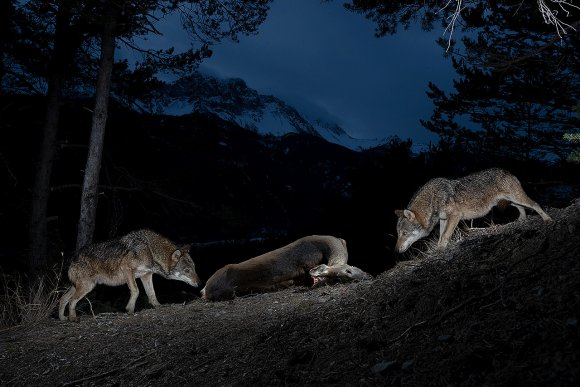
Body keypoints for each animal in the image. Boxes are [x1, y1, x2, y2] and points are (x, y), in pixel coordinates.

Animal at [58, 229, 201, 322]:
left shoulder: (146, 275)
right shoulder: (127, 270)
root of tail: (73, 258)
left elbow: (151, 294)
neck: (150, 250)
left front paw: (158, 306)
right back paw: (73, 318)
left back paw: (63, 318)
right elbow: (136, 291)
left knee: (63, 299)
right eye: (187, 271)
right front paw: (130, 310)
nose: (199, 283)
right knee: (71, 301)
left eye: (194, 268)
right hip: (87, 287)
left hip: (80, 287)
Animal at [394, 167, 552, 253]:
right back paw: (522, 219)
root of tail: (506, 171)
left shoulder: (455, 216)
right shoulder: (444, 219)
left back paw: (547, 219)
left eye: (404, 233)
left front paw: (441, 250)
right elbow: (440, 236)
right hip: (511, 202)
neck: (432, 200)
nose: (396, 250)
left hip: (516, 198)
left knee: (535, 204)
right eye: (398, 234)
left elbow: (445, 236)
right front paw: (439, 249)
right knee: (522, 208)